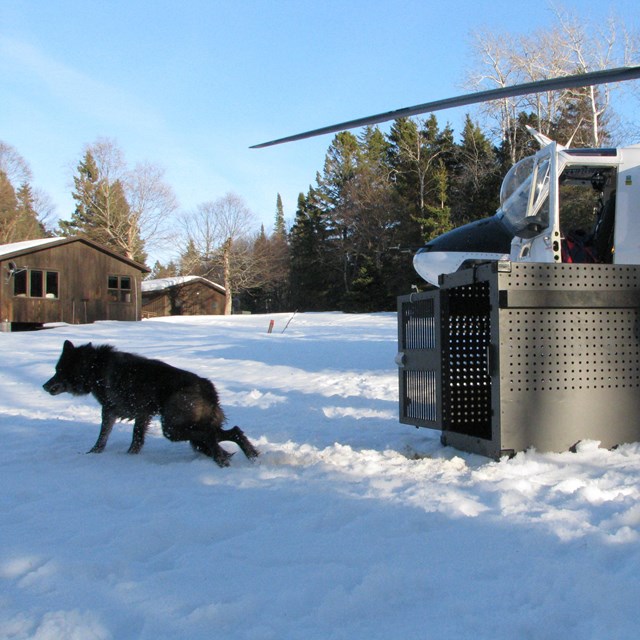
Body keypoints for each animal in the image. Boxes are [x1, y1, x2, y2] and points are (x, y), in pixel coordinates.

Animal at [42, 340, 258, 464]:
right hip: (186, 427)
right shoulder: (141, 415)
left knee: (210, 435)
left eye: (59, 370)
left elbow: (104, 437)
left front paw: (96, 454)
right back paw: (251, 455)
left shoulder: (112, 411)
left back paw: (222, 458)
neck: (96, 368)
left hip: (172, 429)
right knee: (232, 432)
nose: (44, 386)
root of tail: (207, 388)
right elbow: (134, 440)